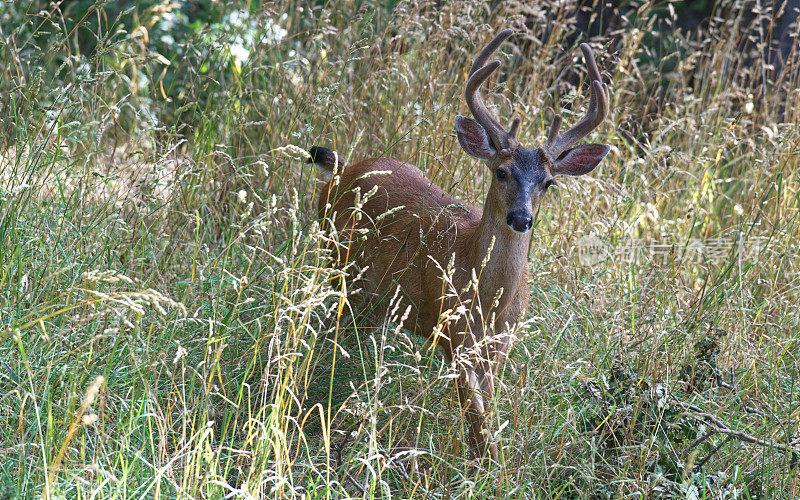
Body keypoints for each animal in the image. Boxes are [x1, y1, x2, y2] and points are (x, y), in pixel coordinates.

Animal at [310, 30, 608, 460]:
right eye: (501, 171)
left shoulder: (502, 342)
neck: (489, 299)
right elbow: (476, 420)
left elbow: (488, 415)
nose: (521, 218)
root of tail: (342, 169)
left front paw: (494, 463)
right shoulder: (452, 332)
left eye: (549, 182)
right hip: (338, 265)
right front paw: (480, 464)